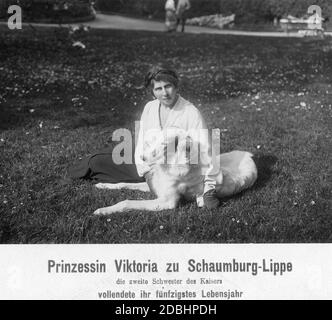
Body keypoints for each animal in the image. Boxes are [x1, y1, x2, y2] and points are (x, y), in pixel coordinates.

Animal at [93, 130, 256, 215]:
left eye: (165, 145)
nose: (142, 157)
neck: (169, 167)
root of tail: (250, 155)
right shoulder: (154, 185)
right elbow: (124, 183)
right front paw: (102, 185)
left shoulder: (167, 201)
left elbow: (126, 202)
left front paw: (103, 210)